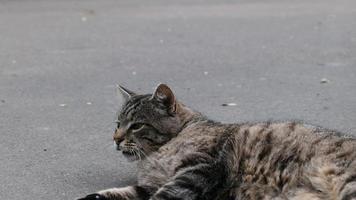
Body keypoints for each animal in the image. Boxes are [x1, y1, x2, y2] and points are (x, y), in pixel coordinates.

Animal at [78, 83, 356, 200]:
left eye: (136, 125)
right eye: (117, 124)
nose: (115, 139)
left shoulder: (201, 168)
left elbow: (164, 196)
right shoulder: (150, 184)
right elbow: (117, 193)